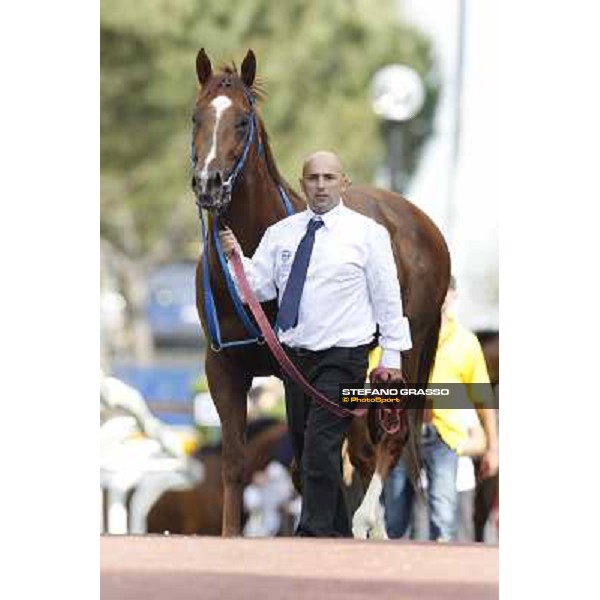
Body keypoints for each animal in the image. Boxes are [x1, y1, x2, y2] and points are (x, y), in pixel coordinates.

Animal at [190, 49, 448, 536]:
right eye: (196, 116)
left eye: (242, 121)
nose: (208, 183)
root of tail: (422, 223)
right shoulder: (224, 367)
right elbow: (234, 462)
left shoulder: (297, 372)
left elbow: (308, 461)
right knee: (364, 448)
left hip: (404, 349)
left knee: (390, 439)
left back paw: (367, 522)